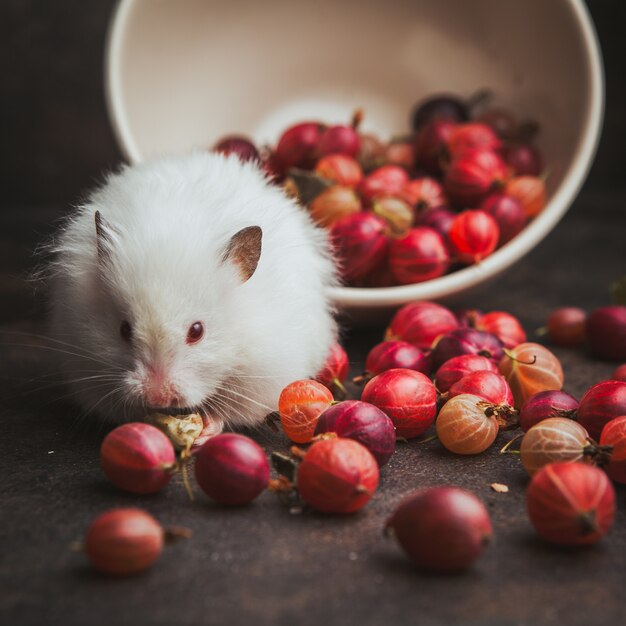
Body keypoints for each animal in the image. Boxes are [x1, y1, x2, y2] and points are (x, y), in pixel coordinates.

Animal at [48, 152, 336, 428]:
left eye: (197, 331)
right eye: (124, 330)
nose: (157, 398)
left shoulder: (261, 376)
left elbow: (227, 413)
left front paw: (206, 429)